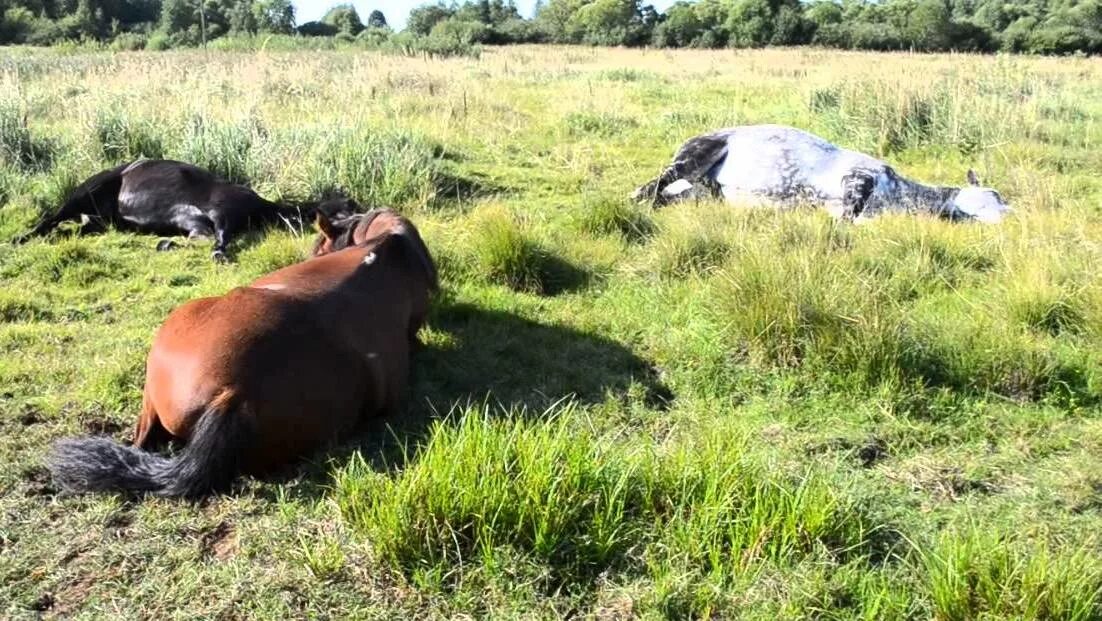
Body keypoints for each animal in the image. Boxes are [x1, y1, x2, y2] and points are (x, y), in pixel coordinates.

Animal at [16, 158, 357, 260]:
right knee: (50, 218)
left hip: (100, 220)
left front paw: (166, 243)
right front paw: (219, 255)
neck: (261, 209)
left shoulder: (197, 223)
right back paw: (22, 237)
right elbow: (219, 243)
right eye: (349, 204)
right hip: (86, 190)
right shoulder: (221, 212)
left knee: (77, 228)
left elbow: (199, 238)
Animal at [634, 124, 1009, 223]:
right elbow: (848, 217)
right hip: (695, 155)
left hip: (698, 190)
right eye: (994, 196)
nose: (1009, 214)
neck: (901, 195)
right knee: (652, 186)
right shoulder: (858, 178)